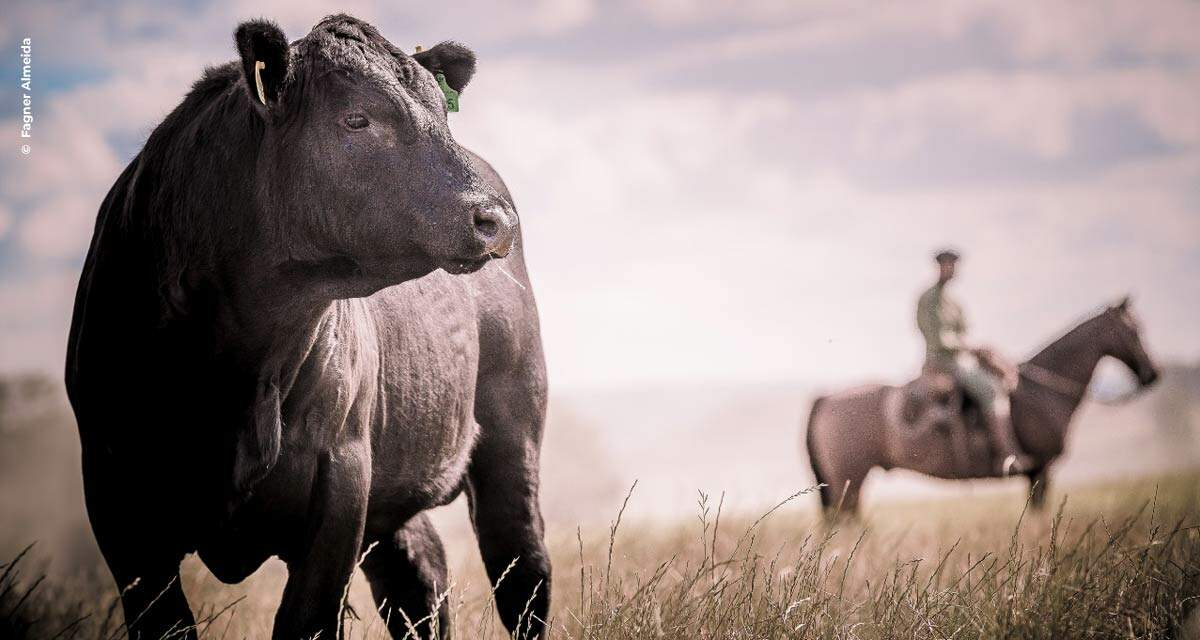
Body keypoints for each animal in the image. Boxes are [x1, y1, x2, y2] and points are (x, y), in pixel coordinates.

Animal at [66, 15, 552, 638]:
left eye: (442, 116)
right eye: (356, 119)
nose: (495, 218)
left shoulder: (340, 477)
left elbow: (308, 618)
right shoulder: (117, 497)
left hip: (513, 439)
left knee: (522, 574)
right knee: (421, 574)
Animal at [806, 296, 1161, 516]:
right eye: (1135, 330)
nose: (1152, 374)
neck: (1042, 394)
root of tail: (825, 399)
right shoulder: (1041, 470)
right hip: (850, 481)